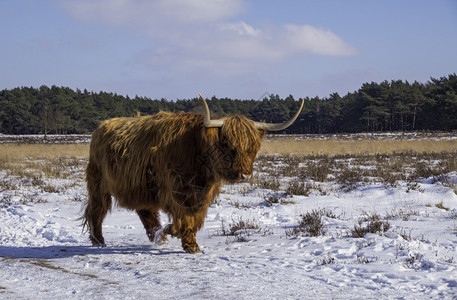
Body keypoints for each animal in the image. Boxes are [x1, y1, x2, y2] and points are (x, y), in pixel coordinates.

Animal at [82, 94, 302, 253]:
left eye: (252, 147)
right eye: (228, 145)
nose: (245, 175)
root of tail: (100, 128)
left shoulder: (202, 195)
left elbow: (194, 218)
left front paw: (188, 242)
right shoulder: (177, 190)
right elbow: (184, 217)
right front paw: (181, 237)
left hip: (140, 186)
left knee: (145, 211)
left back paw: (159, 238)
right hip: (98, 182)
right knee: (97, 209)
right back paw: (99, 240)